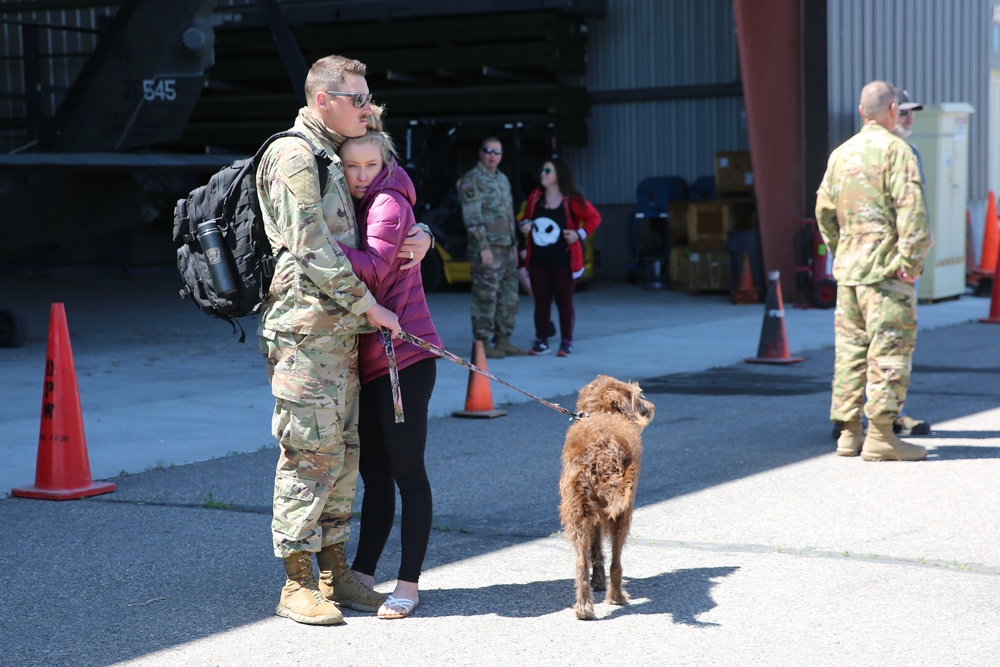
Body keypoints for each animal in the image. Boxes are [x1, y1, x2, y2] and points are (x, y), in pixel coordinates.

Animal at [560, 376, 652, 620]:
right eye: (639, 396)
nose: (650, 408)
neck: (603, 412)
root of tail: (602, 452)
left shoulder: (593, 512)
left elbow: (595, 549)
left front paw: (598, 581)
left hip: (577, 510)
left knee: (581, 564)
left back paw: (584, 608)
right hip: (623, 513)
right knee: (616, 563)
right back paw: (617, 597)